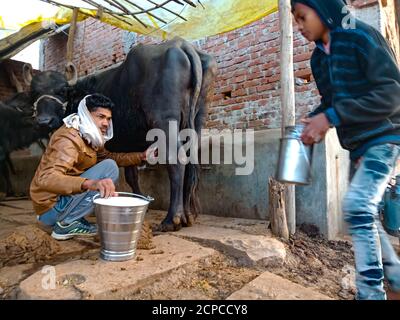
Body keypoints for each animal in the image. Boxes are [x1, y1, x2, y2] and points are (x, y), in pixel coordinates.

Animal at [30, 37, 219, 231]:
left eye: (62, 91)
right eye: (33, 94)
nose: (44, 121)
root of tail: (182, 45)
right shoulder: (128, 144)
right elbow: (131, 173)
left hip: (164, 121)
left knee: (177, 158)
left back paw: (172, 219)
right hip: (197, 121)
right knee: (191, 160)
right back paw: (188, 216)